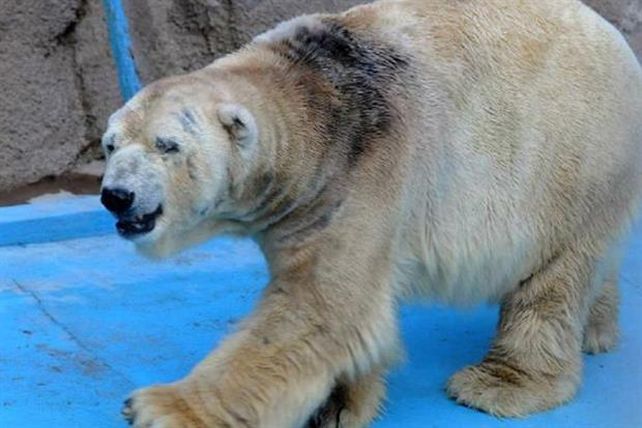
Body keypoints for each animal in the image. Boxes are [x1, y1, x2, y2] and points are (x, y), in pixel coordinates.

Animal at [100, 0, 642, 426]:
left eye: (166, 145)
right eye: (110, 145)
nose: (116, 195)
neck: (316, 99)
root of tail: (616, 38)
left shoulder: (364, 173)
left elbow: (319, 309)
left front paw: (160, 407)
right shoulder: (304, 202)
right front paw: (339, 406)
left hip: (573, 161)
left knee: (553, 278)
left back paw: (500, 384)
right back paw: (596, 331)